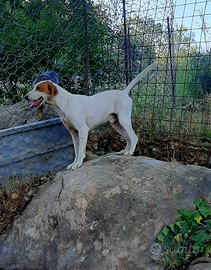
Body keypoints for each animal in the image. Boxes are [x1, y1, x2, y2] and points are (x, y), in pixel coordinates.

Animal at [25, 62, 157, 169]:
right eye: (33, 86)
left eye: (38, 88)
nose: (25, 97)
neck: (64, 103)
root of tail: (124, 93)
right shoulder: (74, 133)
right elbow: (77, 151)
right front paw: (74, 164)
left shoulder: (83, 130)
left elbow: (80, 152)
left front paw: (78, 164)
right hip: (116, 124)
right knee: (128, 138)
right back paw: (125, 151)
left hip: (124, 120)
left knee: (134, 137)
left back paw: (130, 152)